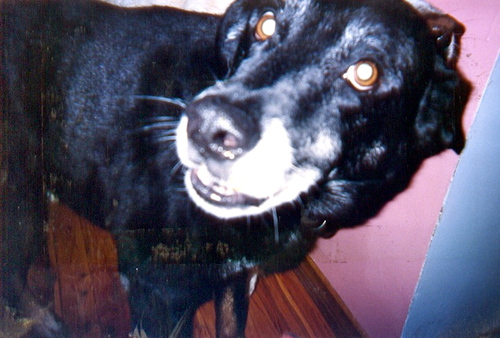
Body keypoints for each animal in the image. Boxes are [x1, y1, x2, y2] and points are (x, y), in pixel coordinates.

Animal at [0, 0, 468, 336]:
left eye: (366, 72)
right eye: (266, 24)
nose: (208, 128)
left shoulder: (236, 278)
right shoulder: (156, 292)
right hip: (17, 198)